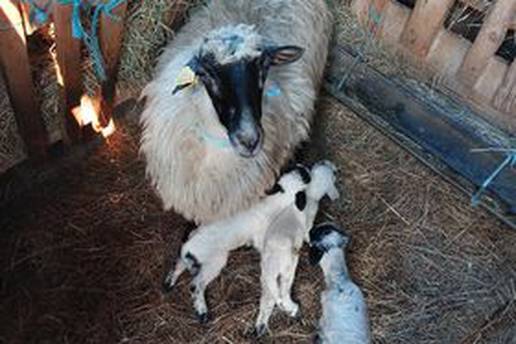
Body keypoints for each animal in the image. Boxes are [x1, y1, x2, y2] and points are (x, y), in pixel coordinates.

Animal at [163, 165, 312, 324]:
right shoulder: (261, 237)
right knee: (196, 285)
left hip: (199, 253)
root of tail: (188, 248)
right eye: (304, 176)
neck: (274, 201)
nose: (306, 168)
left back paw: (168, 284)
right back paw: (202, 313)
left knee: (179, 264)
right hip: (215, 260)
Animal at [253, 161, 338, 336]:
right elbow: (309, 234)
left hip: (266, 280)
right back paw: (292, 309)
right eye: (332, 175)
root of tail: (270, 265)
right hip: (286, 270)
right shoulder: (308, 225)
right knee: (283, 293)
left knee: (268, 298)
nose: (335, 169)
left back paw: (261, 325)